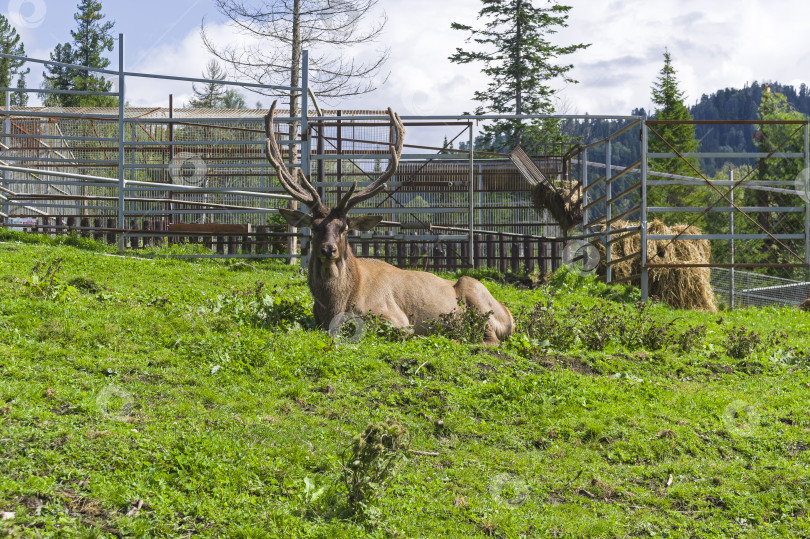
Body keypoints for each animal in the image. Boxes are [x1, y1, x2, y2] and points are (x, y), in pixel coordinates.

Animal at [266, 101, 512, 346]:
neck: (337, 306)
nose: (328, 250)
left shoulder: (395, 317)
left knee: (489, 339)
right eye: (315, 227)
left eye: (344, 228)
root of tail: (510, 318)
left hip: (477, 298)